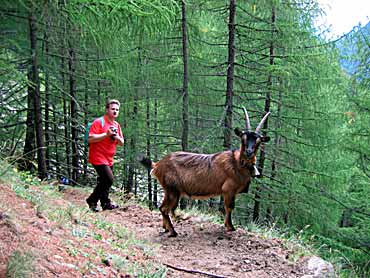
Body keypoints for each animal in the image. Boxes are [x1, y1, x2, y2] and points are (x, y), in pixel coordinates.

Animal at [140, 108, 270, 237]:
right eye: (243, 139)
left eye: (258, 141)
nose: (249, 152)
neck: (236, 163)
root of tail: (158, 164)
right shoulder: (229, 189)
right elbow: (229, 207)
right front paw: (230, 227)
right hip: (173, 189)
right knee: (165, 209)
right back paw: (173, 231)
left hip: (169, 190)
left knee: (162, 207)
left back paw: (166, 228)